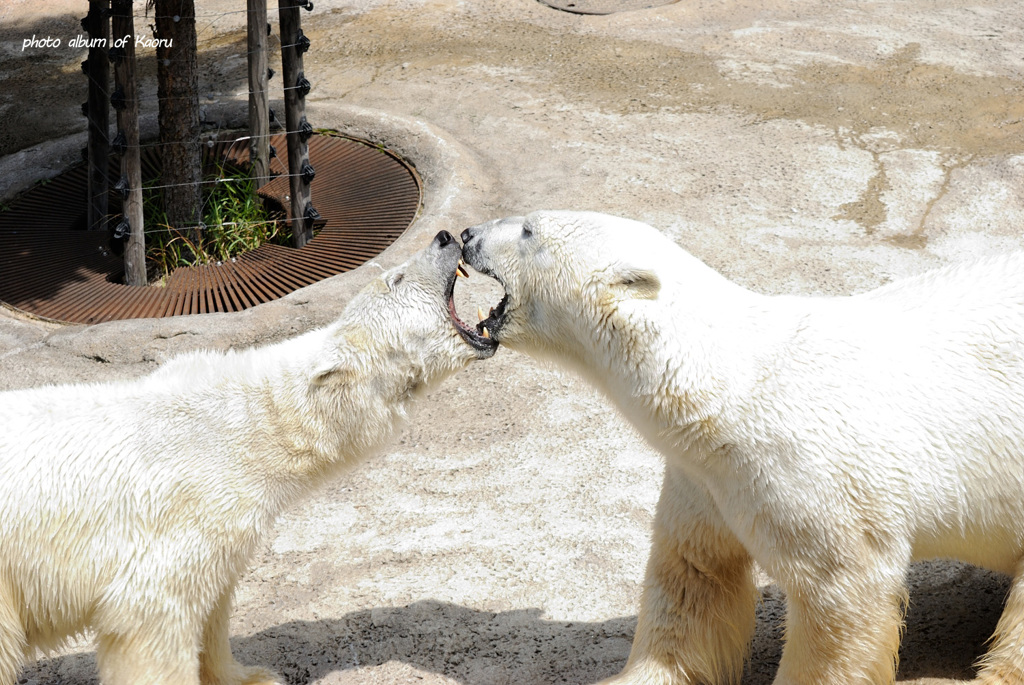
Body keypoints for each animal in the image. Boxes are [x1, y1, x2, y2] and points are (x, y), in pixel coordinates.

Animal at [0, 231, 495, 683]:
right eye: (395, 278)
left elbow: (213, 606)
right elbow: (153, 619)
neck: (252, 428)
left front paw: (252, 676)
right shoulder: (180, 519)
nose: (445, 236)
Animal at [462, 209, 1024, 683]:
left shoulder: (806, 474)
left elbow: (841, 593)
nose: (465, 234)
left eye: (528, 229)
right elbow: (694, 580)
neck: (724, 391)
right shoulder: (701, 478)